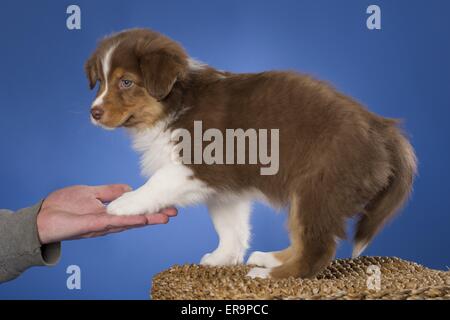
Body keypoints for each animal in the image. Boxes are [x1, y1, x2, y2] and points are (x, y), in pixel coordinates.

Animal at [85, 28, 418, 278]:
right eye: (100, 82)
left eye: (126, 82)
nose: (94, 112)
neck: (176, 102)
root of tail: (380, 126)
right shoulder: (225, 189)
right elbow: (229, 226)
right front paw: (223, 257)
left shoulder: (196, 165)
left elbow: (156, 183)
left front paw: (123, 203)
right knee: (304, 239)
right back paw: (271, 259)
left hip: (318, 187)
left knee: (317, 249)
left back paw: (271, 276)